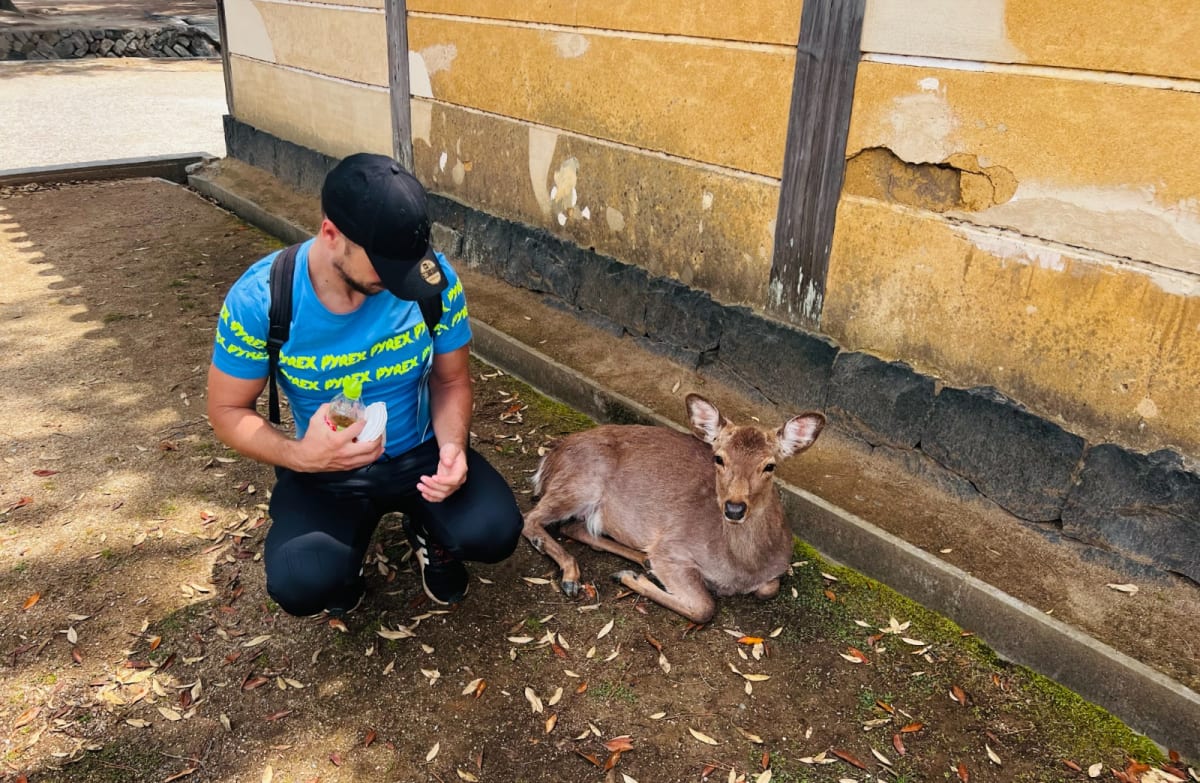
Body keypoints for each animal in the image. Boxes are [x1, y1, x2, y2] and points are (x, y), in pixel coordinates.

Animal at [525, 391, 825, 624]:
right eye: (718, 458)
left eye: (769, 465)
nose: (734, 509)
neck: (742, 569)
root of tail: (549, 459)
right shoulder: (672, 547)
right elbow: (705, 607)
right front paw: (627, 577)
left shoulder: (776, 570)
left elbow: (768, 588)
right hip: (579, 483)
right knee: (532, 518)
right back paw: (572, 577)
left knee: (574, 527)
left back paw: (639, 561)